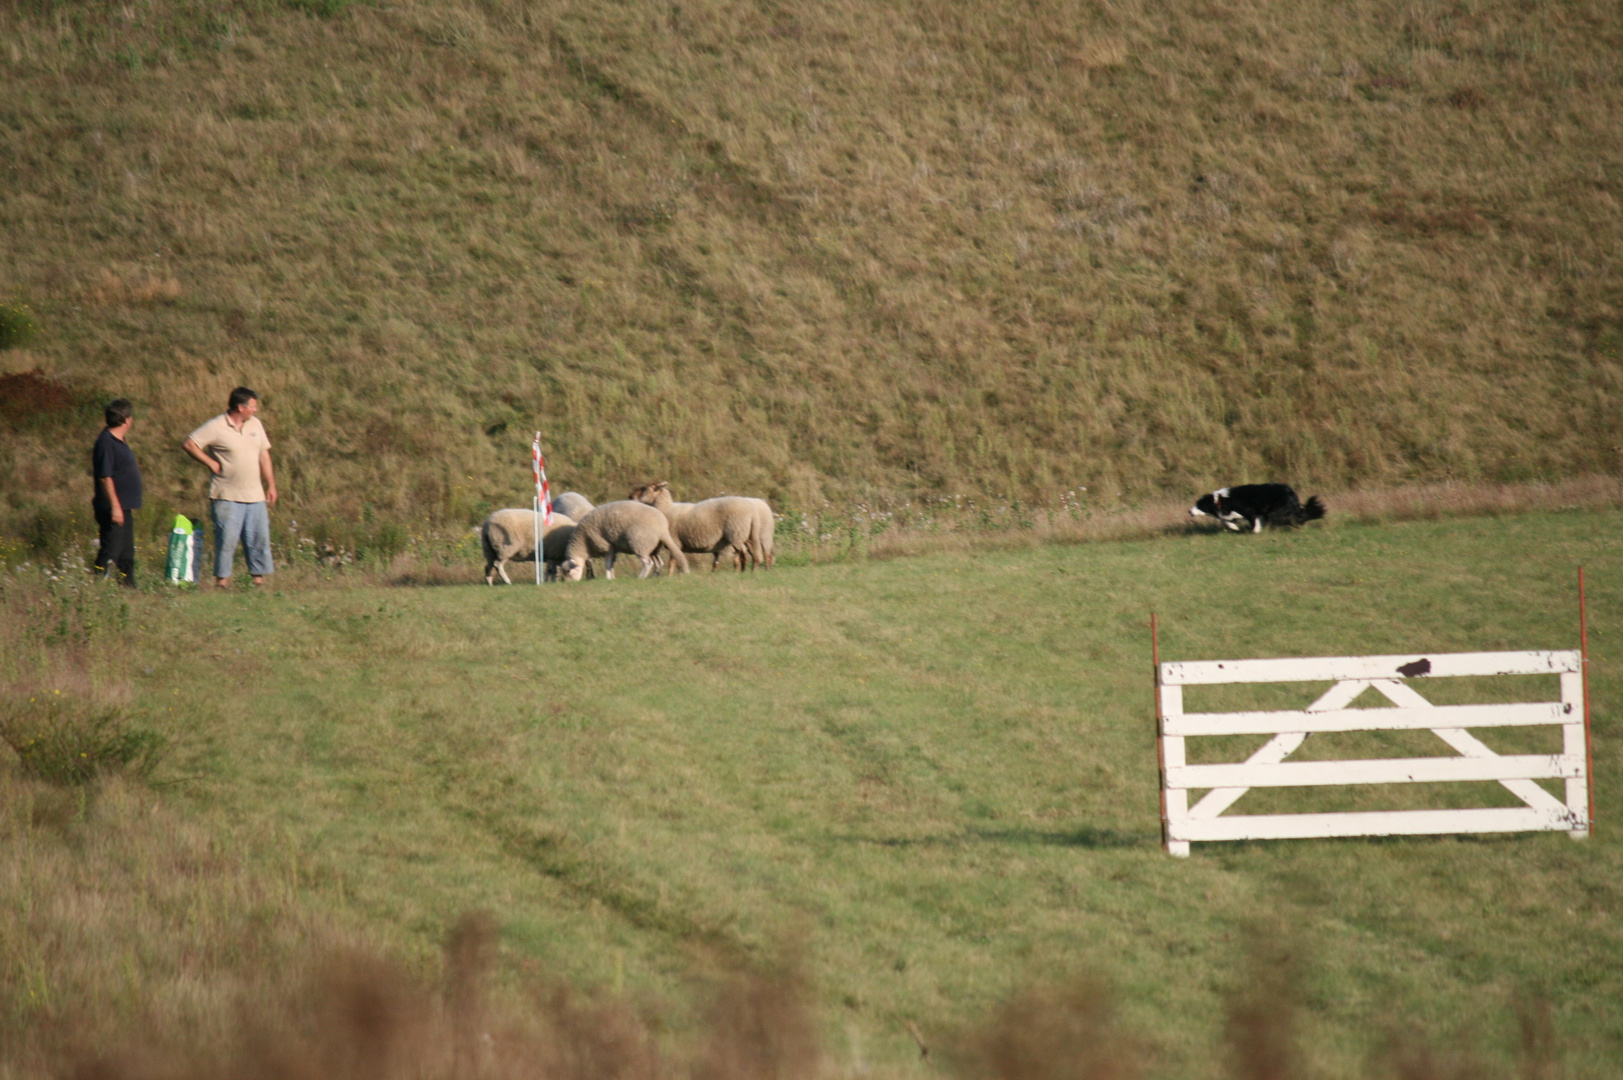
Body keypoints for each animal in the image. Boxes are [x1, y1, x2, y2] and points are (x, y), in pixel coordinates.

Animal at [558, 500, 691, 581]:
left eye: (568, 573)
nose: (570, 583)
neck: (583, 543)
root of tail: (662, 529)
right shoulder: (613, 547)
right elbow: (611, 563)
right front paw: (611, 577)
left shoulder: (606, 545)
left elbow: (608, 563)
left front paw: (608, 578)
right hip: (653, 547)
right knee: (659, 563)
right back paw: (654, 577)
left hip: (639, 542)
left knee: (647, 563)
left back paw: (641, 577)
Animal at [626, 477, 772, 565]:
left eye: (644, 488)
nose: (630, 496)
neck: (667, 509)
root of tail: (751, 509)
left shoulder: (675, 539)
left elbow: (673, 561)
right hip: (745, 533)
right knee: (753, 551)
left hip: (736, 531)